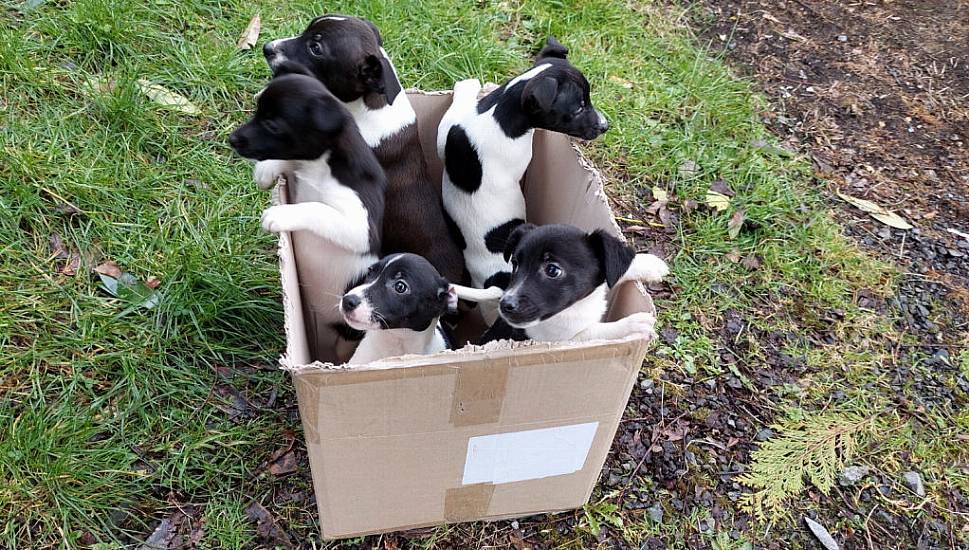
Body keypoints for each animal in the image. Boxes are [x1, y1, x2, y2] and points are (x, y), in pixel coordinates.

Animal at [229, 72, 384, 362]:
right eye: (257, 112)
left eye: (272, 125)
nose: (232, 139)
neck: (321, 165)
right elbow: (288, 165)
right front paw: (265, 170)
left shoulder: (359, 226)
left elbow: (316, 208)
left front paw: (278, 214)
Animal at [480, 224, 668, 344]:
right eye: (515, 264)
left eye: (552, 270)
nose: (505, 305)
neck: (577, 306)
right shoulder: (563, 340)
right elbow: (597, 332)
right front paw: (632, 326)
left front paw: (647, 264)